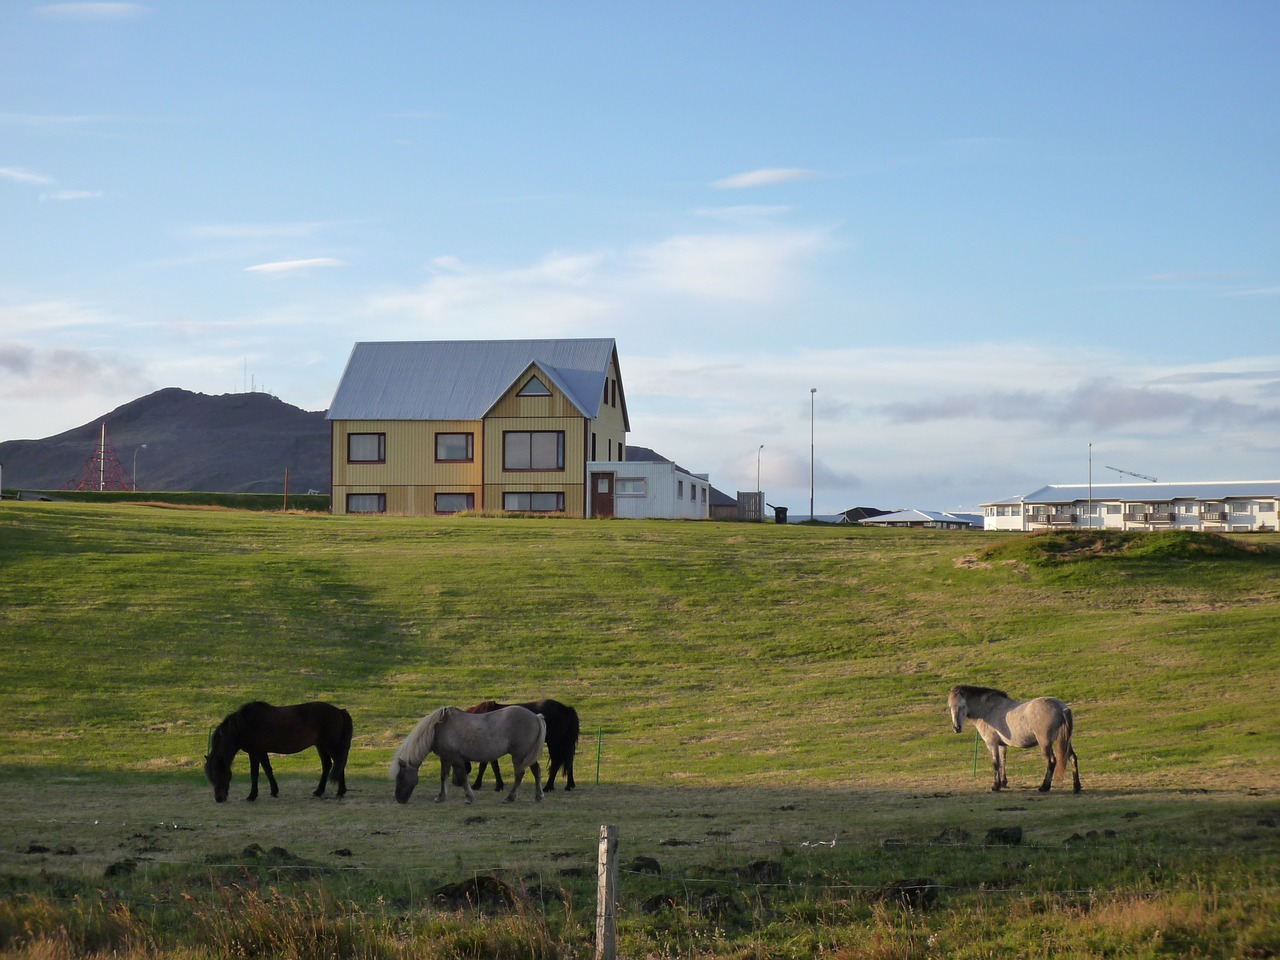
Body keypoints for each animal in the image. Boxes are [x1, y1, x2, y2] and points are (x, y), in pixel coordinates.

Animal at [207, 701, 353, 803]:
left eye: (221, 774)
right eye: (211, 777)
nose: (219, 799)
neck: (244, 724)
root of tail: (340, 711)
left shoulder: (254, 752)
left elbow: (254, 773)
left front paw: (252, 796)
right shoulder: (262, 752)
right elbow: (268, 770)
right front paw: (274, 791)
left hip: (330, 745)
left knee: (338, 763)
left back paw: (340, 791)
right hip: (320, 745)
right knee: (328, 764)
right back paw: (319, 791)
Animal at [391, 706, 547, 803]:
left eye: (400, 776)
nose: (399, 799)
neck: (438, 728)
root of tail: (536, 717)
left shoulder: (456, 759)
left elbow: (462, 778)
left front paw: (469, 797)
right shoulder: (445, 758)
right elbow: (443, 776)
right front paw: (441, 797)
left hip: (519, 756)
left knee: (519, 775)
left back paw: (510, 798)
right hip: (527, 756)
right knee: (536, 771)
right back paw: (538, 796)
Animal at [952, 686, 1080, 798]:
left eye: (962, 706)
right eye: (951, 707)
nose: (956, 728)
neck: (989, 710)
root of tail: (1062, 708)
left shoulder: (992, 744)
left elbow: (996, 763)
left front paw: (995, 786)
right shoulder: (1002, 745)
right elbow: (1003, 762)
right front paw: (1003, 782)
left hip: (1045, 743)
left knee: (1052, 761)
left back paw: (1044, 787)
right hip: (1066, 742)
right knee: (1072, 758)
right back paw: (1076, 787)